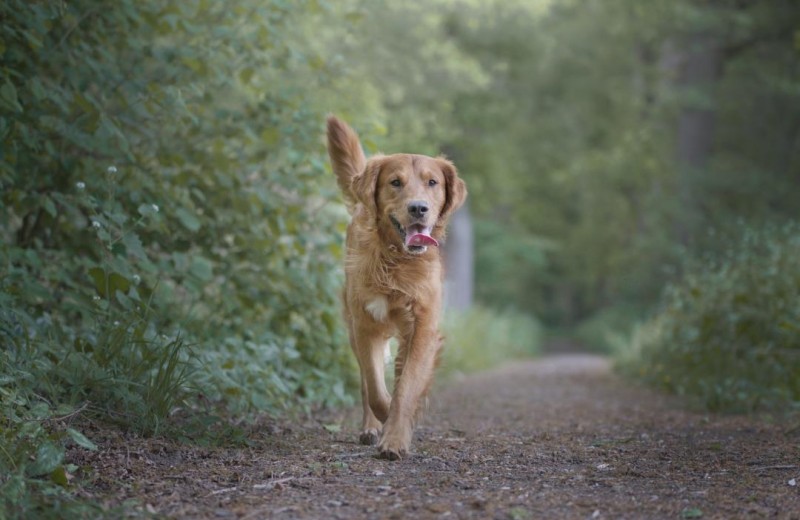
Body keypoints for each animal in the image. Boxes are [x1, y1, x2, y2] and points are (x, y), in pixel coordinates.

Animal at [326, 115, 468, 460]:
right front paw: (384, 419)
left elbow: (406, 387)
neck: (396, 261)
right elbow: (376, 389)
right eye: (395, 182)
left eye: (432, 183)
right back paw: (369, 427)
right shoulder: (365, 324)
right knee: (365, 383)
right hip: (352, 327)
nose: (418, 208)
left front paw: (395, 437)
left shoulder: (422, 328)